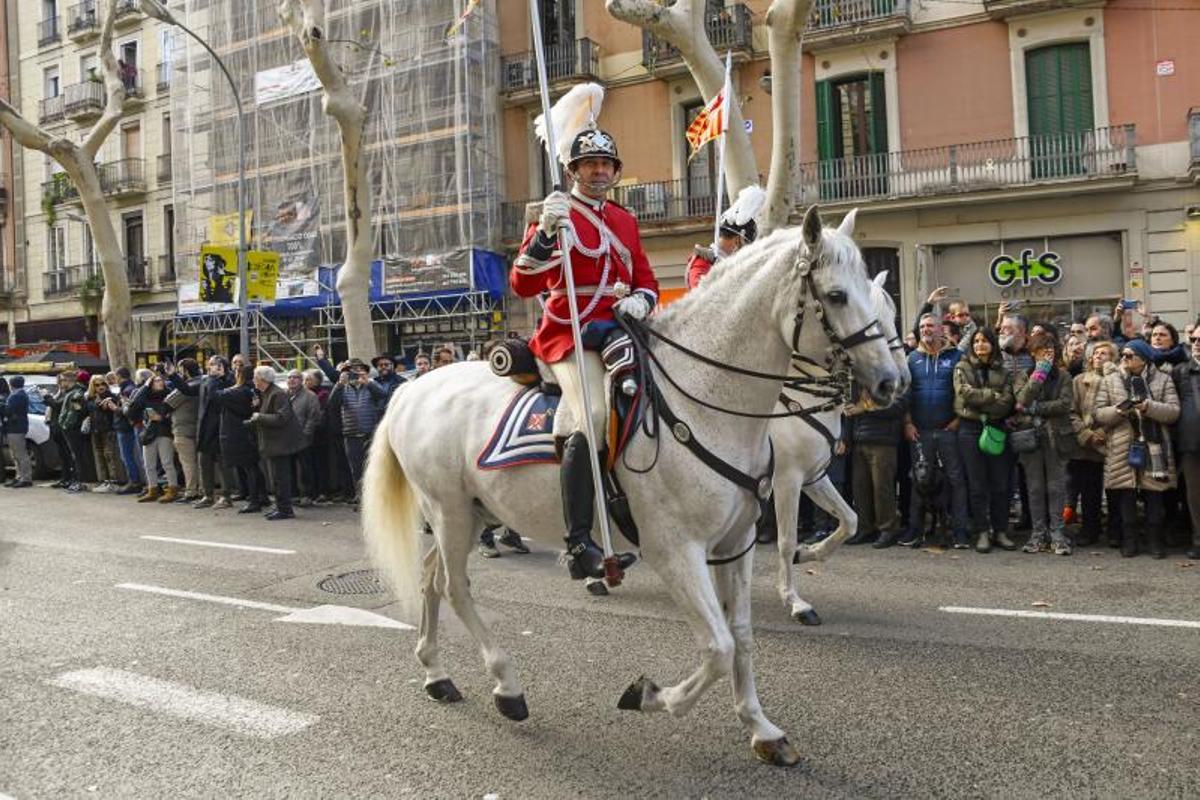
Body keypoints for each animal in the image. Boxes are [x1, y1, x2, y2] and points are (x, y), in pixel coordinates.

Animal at [768, 271, 907, 623]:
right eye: (874, 320)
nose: (900, 380)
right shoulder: (786, 479)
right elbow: (785, 539)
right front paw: (795, 601)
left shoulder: (813, 477)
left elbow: (850, 519)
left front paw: (807, 553)